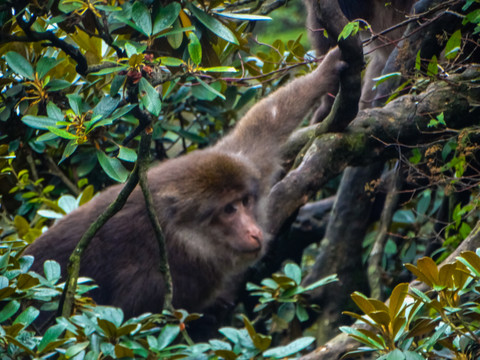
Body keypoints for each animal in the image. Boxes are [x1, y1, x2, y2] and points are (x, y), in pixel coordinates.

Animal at [25, 47, 344, 318]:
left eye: (244, 202)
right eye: (229, 210)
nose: (254, 231)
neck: (183, 236)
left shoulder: (241, 162)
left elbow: (265, 125)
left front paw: (326, 72)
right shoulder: (146, 287)